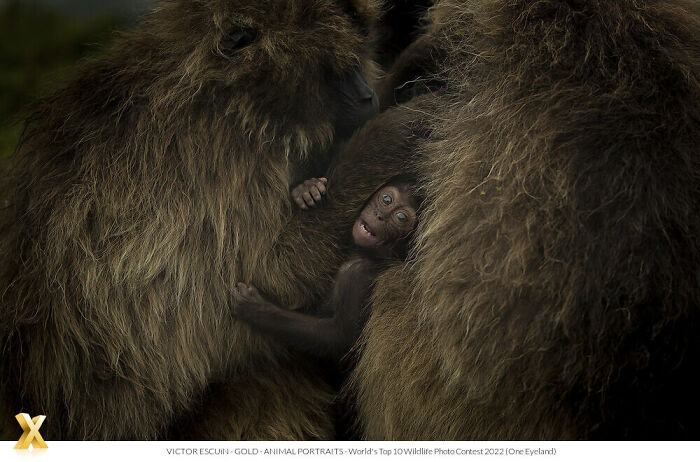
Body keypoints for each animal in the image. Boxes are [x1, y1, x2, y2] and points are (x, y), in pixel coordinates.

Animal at [0, 0, 413, 440]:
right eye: (333, 69)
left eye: (357, 56)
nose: (368, 96)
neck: (230, 99)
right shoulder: (214, 161)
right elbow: (259, 279)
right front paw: (396, 129)